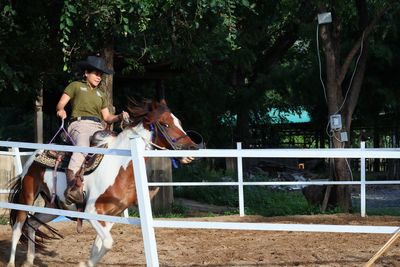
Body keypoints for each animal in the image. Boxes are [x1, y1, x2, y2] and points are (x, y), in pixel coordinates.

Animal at [5, 99, 199, 267]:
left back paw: (29, 261)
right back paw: (11, 262)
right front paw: (84, 263)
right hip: (27, 197)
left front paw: (86, 263)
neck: (117, 165)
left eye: (179, 122)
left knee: (32, 224)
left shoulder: (111, 215)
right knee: (17, 227)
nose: (192, 149)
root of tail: (34, 156)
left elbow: (99, 246)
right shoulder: (91, 211)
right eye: (165, 124)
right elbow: (107, 243)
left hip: (54, 206)